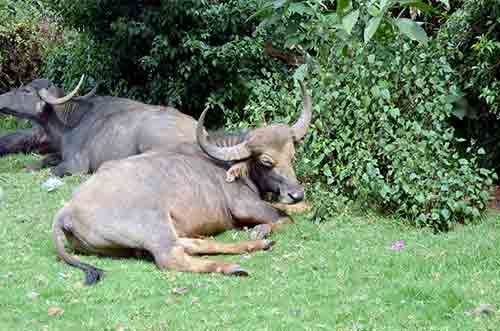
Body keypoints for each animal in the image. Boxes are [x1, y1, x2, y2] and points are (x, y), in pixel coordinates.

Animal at [0, 77, 199, 178]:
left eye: (26, 91)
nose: (1, 99)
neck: (70, 122)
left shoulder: (76, 164)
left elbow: (52, 170)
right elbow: (41, 161)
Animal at [51, 80, 312, 286]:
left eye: (292, 156)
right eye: (266, 161)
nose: (296, 193)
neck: (231, 165)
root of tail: (67, 210)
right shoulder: (245, 205)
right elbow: (282, 218)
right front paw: (263, 228)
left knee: (192, 244)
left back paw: (256, 246)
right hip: (155, 228)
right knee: (172, 256)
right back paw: (232, 266)